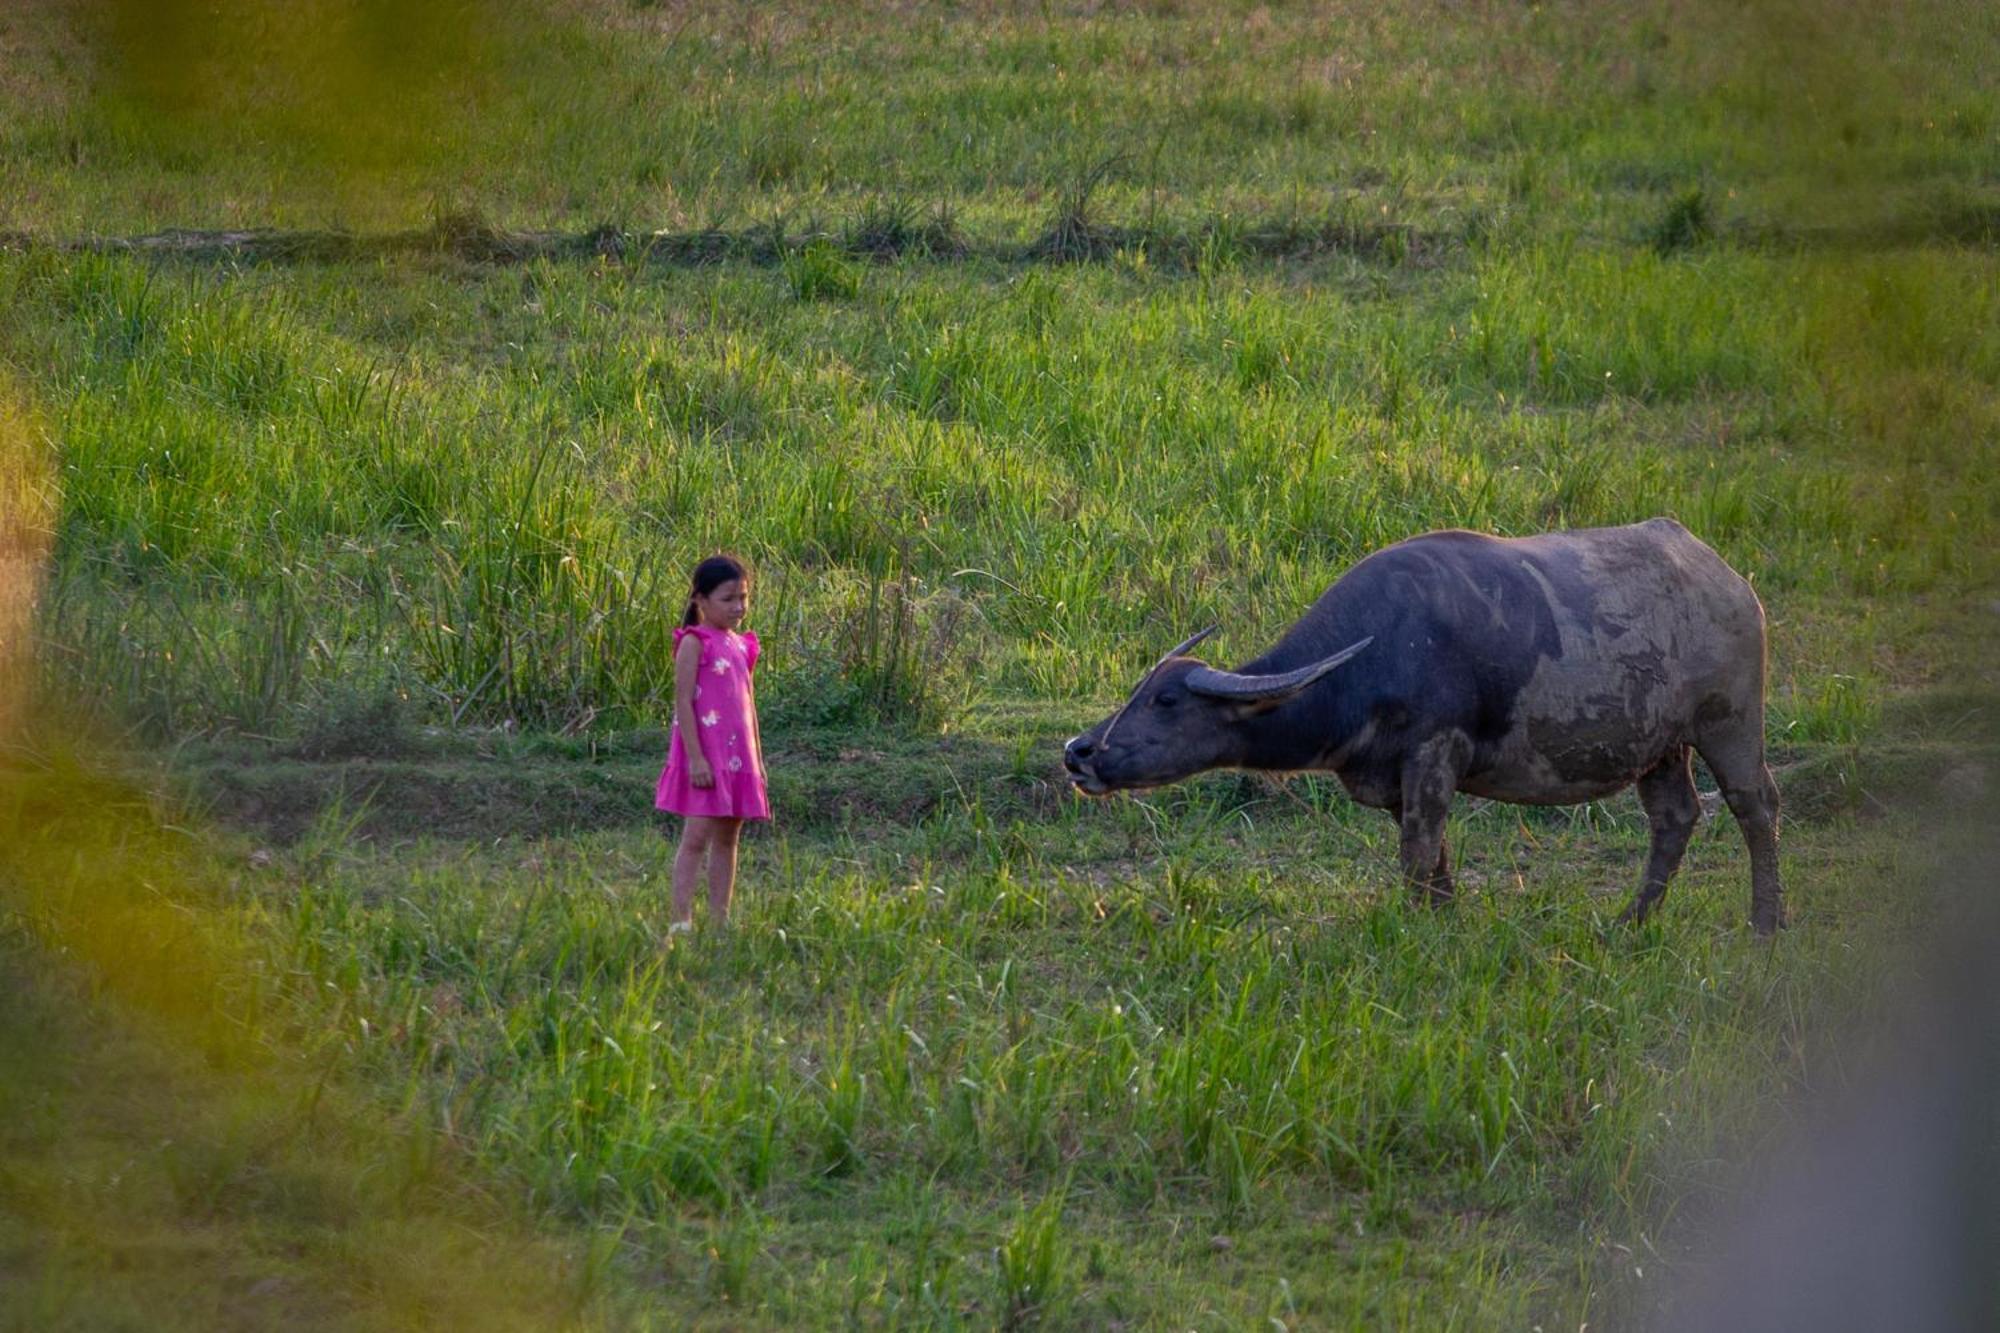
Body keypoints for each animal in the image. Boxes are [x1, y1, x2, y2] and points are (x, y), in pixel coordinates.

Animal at [1064, 512, 1784, 928]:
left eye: (1166, 700)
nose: (1079, 751)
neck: (1373, 657)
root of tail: (1731, 583)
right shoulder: (1395, 780)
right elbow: (1432, 855)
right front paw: (1442, 918)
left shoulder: (1434, 754)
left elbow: (1416, 853)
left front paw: (1416, 929)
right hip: (1659, 745)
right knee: (1675, 818)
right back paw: (1629, 923)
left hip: (1730, 722)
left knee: (1755, 806)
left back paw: (1766, 924)